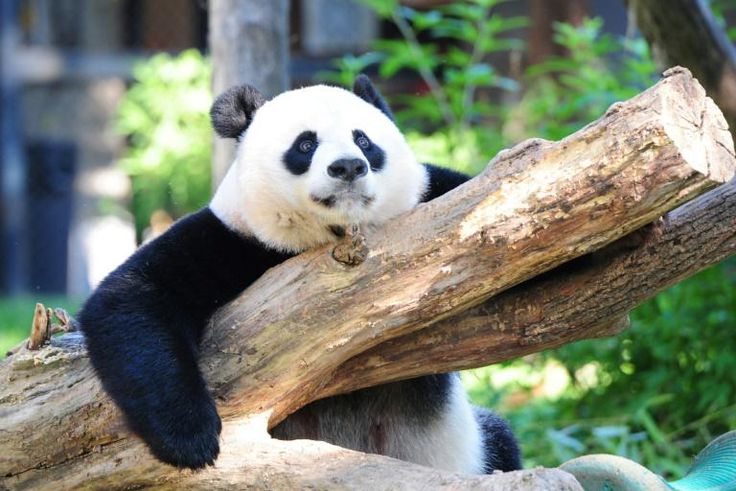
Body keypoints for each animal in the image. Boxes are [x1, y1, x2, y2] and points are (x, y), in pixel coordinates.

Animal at [79, 75, 521, 474]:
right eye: (305, 144)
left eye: (364, 140)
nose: (348, 167)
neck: (333, 235)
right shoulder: (233, 240)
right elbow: (132, 297)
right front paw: (191, 438)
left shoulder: (436, 197)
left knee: (502, 440)